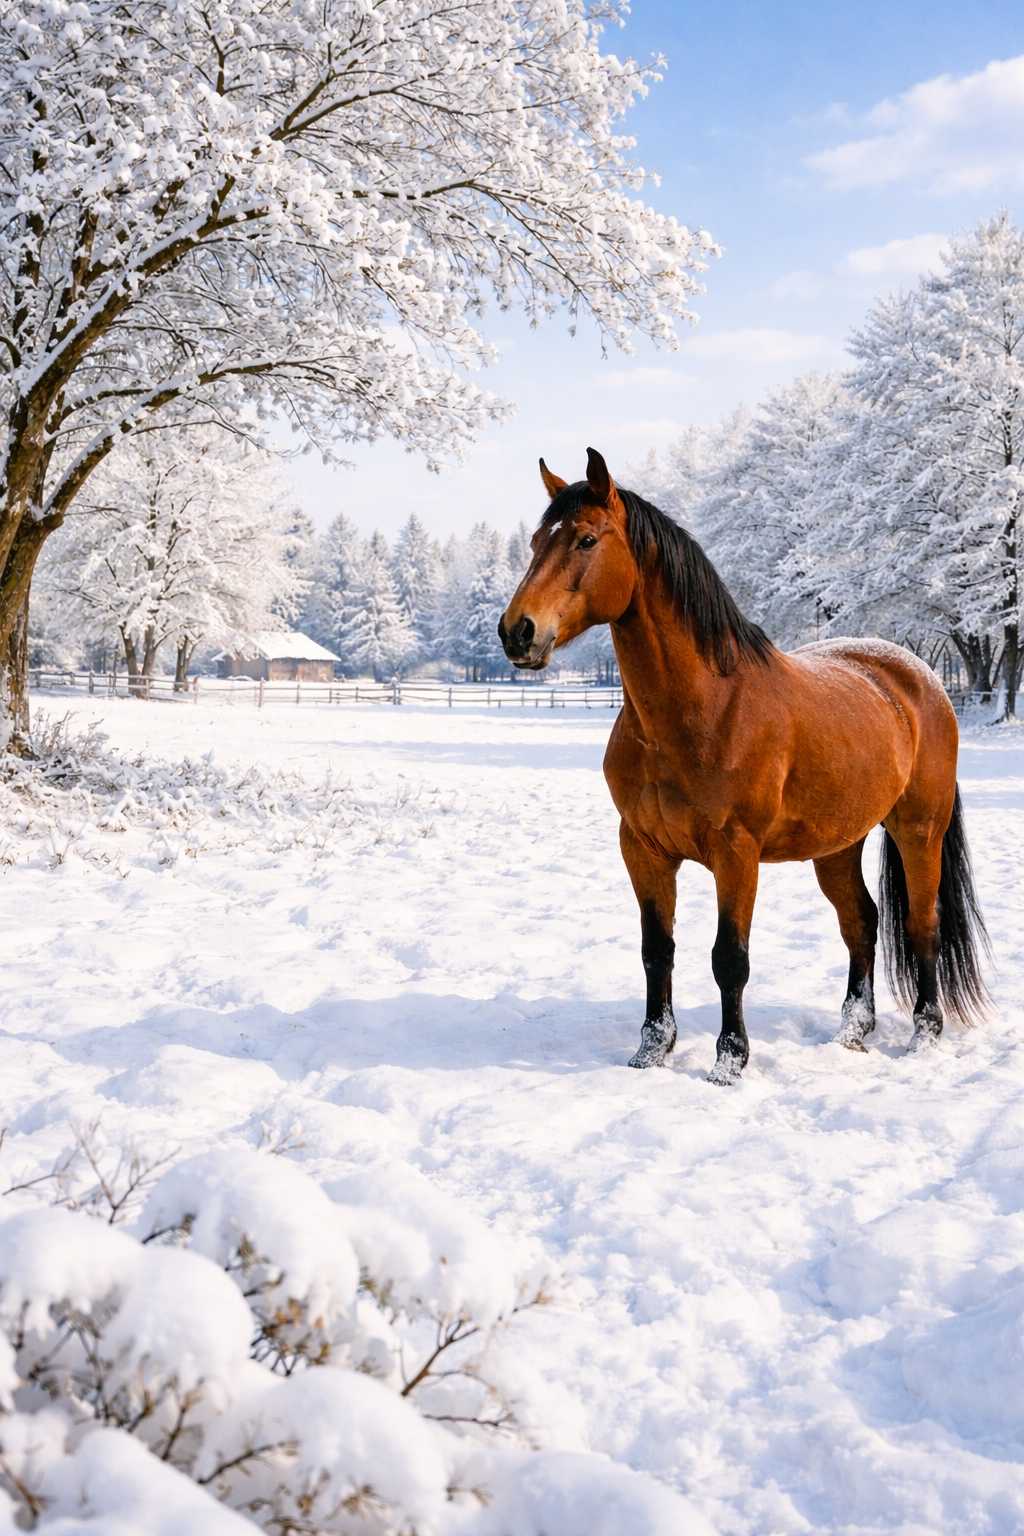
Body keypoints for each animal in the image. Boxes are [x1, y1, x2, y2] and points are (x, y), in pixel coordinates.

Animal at [497, 448, 989, 1083]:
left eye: (585, 539)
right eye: (537, 541)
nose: (518, 632)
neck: (703, 707)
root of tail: (920, 678)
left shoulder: (736, 853)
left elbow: (729, 958)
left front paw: (729, 1062)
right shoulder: (642, 849)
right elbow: (657, 951)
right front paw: (650, 1051)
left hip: (918, 829)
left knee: (922, 925)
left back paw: (925, 1036)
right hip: (838, 844)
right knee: (861, 922)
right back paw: (852, 1033)